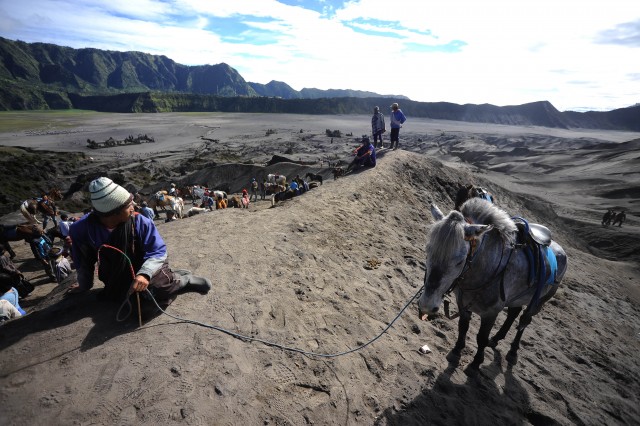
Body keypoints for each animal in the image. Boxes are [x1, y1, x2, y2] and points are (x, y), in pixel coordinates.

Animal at [418, 198, 568, 372]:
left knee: (524, 321)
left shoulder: (491, 312)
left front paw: (475, 363)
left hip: (539, 302)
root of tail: (560, 250)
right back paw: (496, 339)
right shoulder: (463, 303)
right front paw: (457, 350)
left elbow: (481, 338)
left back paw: (513, 351)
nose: (427, 305)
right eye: (428, 250)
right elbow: (463, 326)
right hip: (516, 298)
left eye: (460, 261)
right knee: (513, 313)